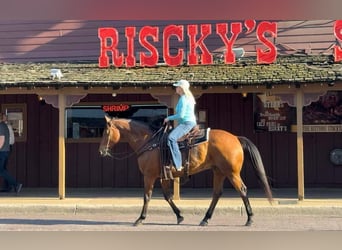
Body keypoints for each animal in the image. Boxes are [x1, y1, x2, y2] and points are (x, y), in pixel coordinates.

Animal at [99, 116, 272, 228]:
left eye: (106, 132)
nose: (101, 151)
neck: (149, 142)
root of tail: (236, 137)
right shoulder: (163, 177)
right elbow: (167, 197)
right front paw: (179, 216)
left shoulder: (149, 176)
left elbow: (147, 196)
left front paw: (140, 219)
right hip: (219, 172)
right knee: (217, 193)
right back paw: (205, 219)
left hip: (232, 173)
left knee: (242, 190)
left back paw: (249, 219)